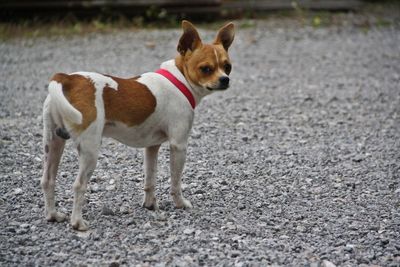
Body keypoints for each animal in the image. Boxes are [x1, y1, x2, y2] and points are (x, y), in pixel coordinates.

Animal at [40, 19, 234, 231]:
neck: (180, 80)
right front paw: (180, 204)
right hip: (89, 151)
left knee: (48, 180)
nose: (225, 79)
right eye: (206, 69)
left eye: (227, 67)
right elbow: (175, 182)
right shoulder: (178, 146)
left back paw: (53, 215)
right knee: (79, 185)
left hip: (54, 143)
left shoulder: (152, 147)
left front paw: (150, 205)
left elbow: (150, 179)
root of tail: (68, 79)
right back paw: (78, 222)